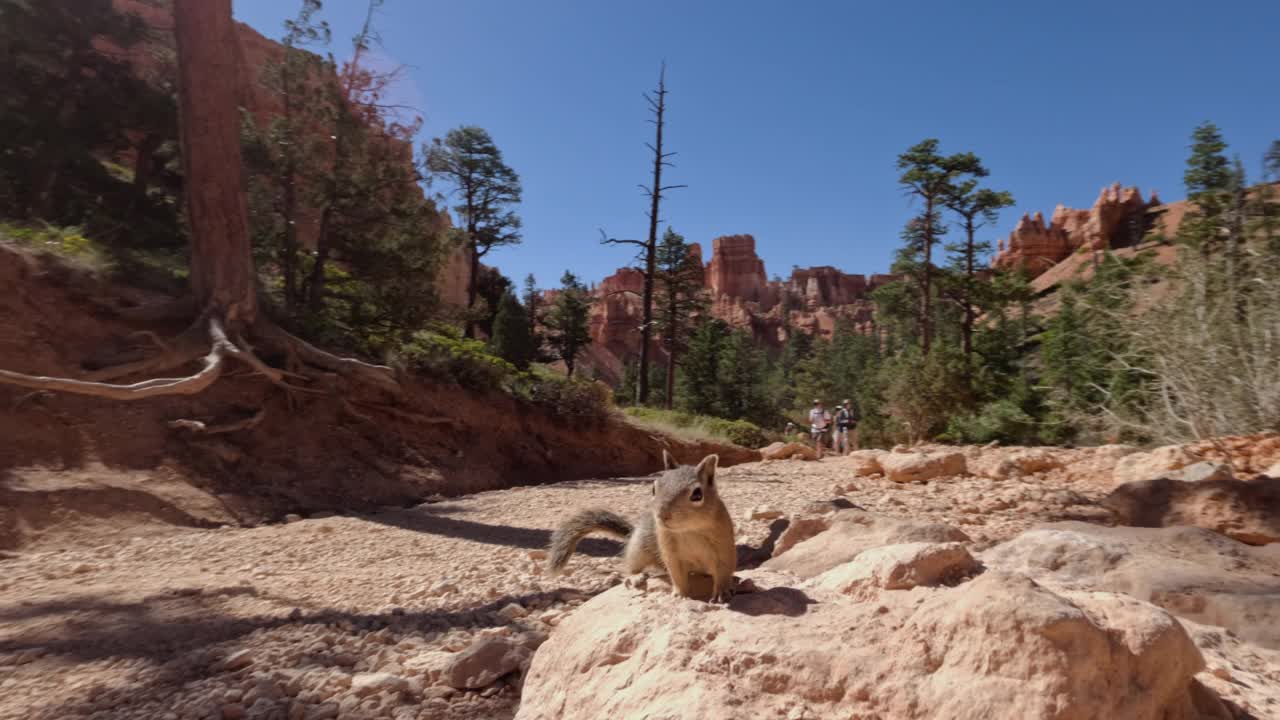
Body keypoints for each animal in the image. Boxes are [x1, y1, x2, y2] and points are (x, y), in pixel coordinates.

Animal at [545, 448, 737, 599]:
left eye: (697, 495)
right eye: (653, 488)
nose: (661, 515)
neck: (688, 530)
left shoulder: (724, 546)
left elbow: (723, 571)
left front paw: (722, 592)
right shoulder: (670, 551)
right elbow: (677, 574)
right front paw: (680, 593)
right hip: (638, 547)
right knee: (632, 566)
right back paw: (635, 577)